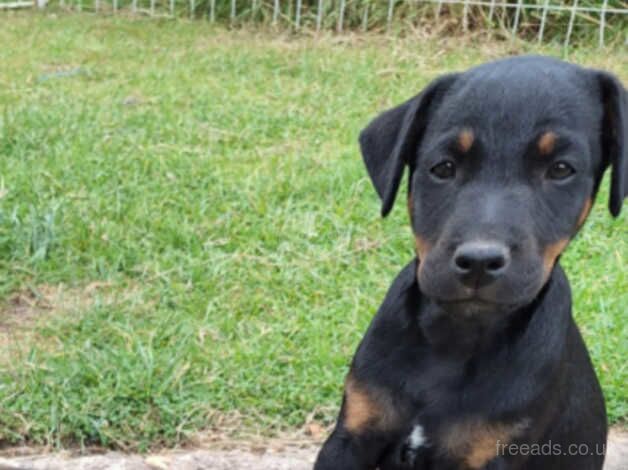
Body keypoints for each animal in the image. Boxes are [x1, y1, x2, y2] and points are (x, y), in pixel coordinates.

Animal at [316, 57, 624, 470]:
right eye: (443, 168)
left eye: (561, 170)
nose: (479, 261)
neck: (454, 338)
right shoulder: (352, 436)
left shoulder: (491, 454)